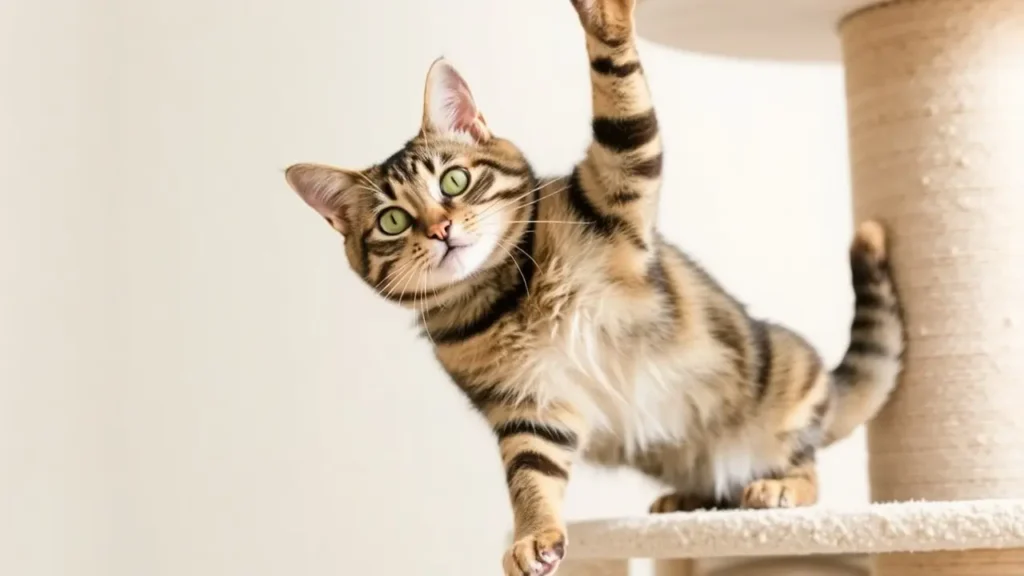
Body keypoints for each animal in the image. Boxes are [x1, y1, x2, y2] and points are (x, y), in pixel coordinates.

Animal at [280, 0, 905, 569]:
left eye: (454, 181)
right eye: (392, 221)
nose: (439, 229)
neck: (505, 294)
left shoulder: (620, 182)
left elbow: (622, 101)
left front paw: (603, 17)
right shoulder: (528, 405)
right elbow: (530, 478)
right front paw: (535, 537)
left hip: (785, 401)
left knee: (807, 471)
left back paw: (778, 488)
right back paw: (685, 501)